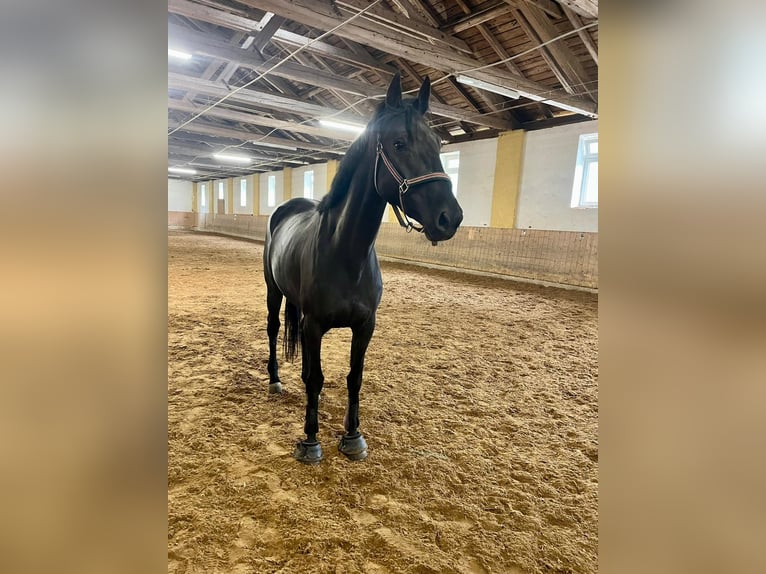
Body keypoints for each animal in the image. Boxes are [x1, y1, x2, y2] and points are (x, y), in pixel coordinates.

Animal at [263, 73, 463, 464]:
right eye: (399, 143)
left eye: (437, 143)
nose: (450, 218)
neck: (345, 254)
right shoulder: (315, 324)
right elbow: (316, 378)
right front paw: (310, 440)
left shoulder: (365, 325)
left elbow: (353, 377)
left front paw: (353, 436)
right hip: (273, 292)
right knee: (274, 329)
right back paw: (275, 380)